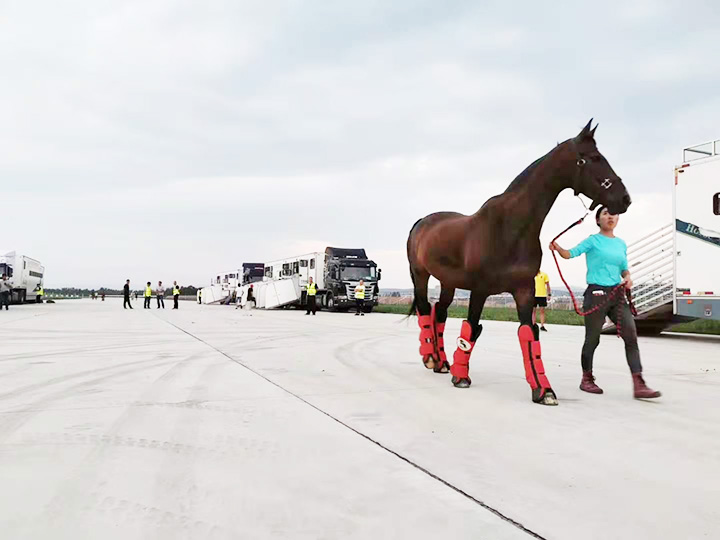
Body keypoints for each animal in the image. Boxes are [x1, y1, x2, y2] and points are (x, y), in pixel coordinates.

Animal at [406, 120, 631, 406]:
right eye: (591, 158)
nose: (624, 199)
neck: (510, 227)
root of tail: (421, 222)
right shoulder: (480, 290)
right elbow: (470, 330)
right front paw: (462, 376)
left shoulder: (524, 290)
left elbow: (529, 334)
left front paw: (543, 390)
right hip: (420, 275)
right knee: (426, 309)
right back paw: (431, 357)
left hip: (448, 282)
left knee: (440, 312)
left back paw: (441, 362)